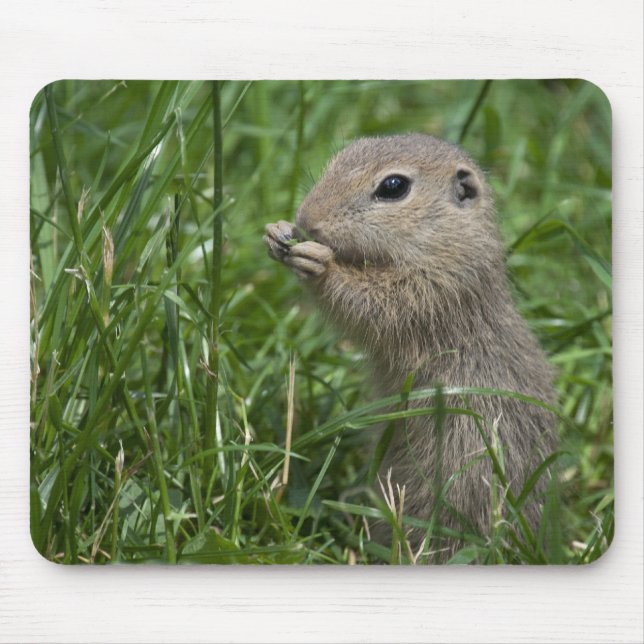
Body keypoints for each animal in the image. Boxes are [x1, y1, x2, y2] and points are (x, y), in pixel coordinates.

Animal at [264, 134, 557, 561]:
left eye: (393, 187)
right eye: (341, 155)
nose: (307, 220)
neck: (447, 241)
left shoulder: (434, 290)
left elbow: (373, 304)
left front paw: (319, 264)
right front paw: (277, 232)